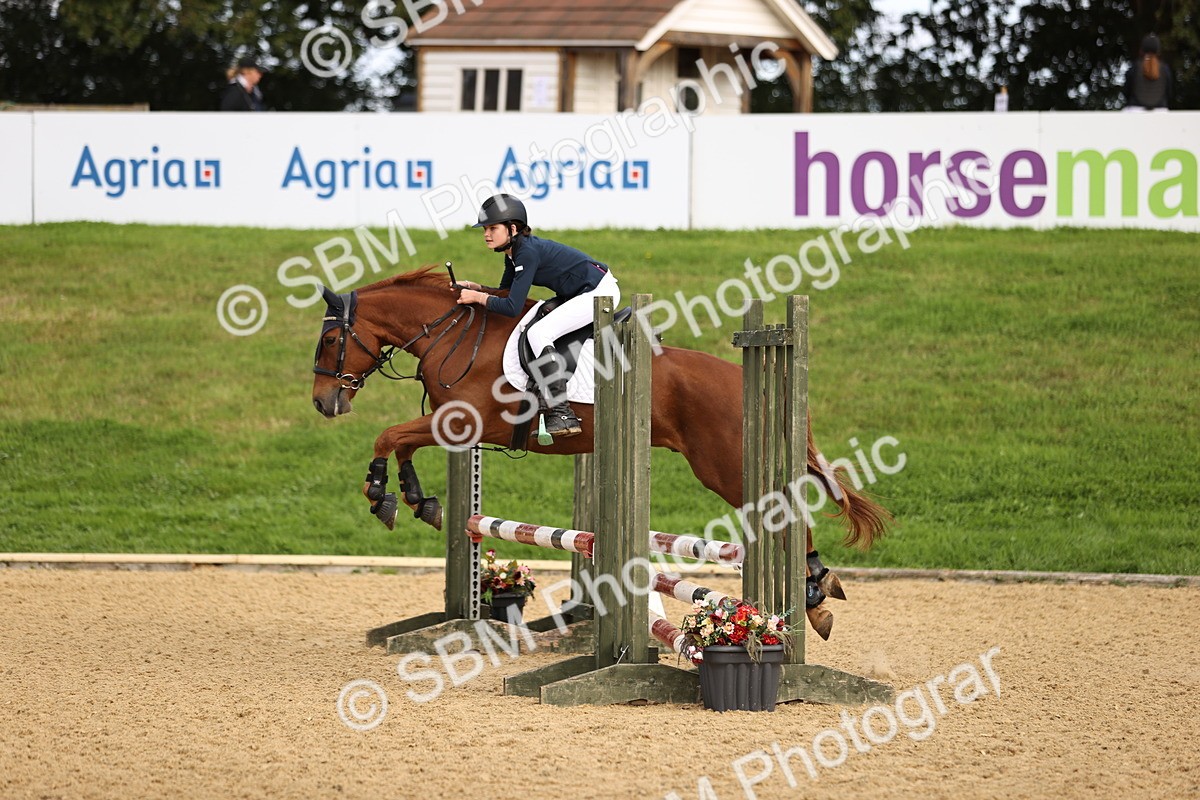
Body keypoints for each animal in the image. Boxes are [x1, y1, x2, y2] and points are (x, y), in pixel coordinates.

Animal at [310, 266, 890, 639]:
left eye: (329, 343)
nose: (323, 402)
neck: (454, 337)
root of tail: (755, 375)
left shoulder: (460, 421)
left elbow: (388, 436)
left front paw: (383, 494)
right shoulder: (454, 428)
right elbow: (399, 442)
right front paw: (417, 501)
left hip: (724, 466)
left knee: (784, 510)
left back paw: (813, 595)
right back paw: (816, 591)